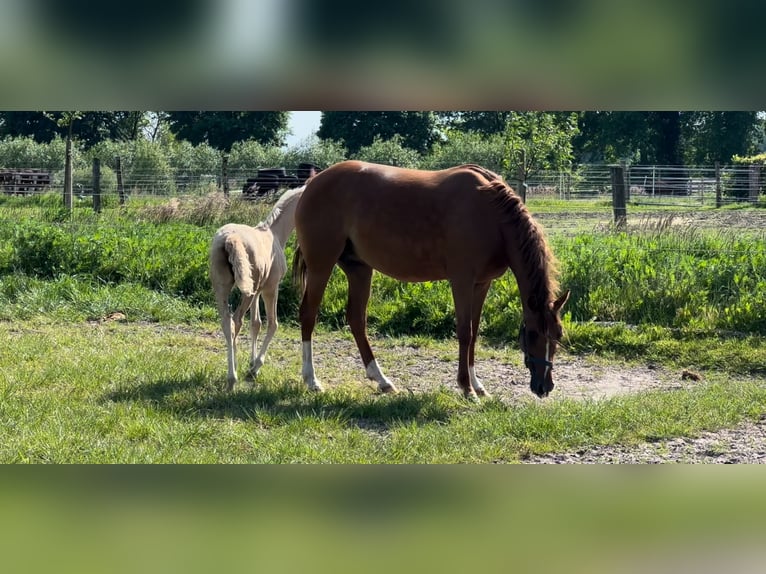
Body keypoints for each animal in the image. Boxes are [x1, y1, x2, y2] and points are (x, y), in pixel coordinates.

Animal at [212, 187, 308, 394]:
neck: (275, 234)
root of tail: (229, 239)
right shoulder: (270, 288)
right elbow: (273, 324)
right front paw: (255, 367)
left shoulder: (257, 291)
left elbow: (255, 324)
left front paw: (250, 362)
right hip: (247, 293)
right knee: (236, 321)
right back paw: (233, 378)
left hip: (223, 288)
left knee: (227, 322)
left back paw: (232, 373)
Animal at [294, 161, 568, 400]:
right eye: (532, 334)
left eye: (558, 334)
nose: (544, 387)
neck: (491, 214)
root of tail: (313, 181)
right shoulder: (462, 281)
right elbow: (465, 332)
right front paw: (466, 388)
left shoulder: (482, 284)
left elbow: (475, 332)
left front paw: (478, 385)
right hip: (321, 266)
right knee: (309, 314)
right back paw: (311, 380)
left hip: (359, 269)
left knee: (356, 320)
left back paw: (382, 381)